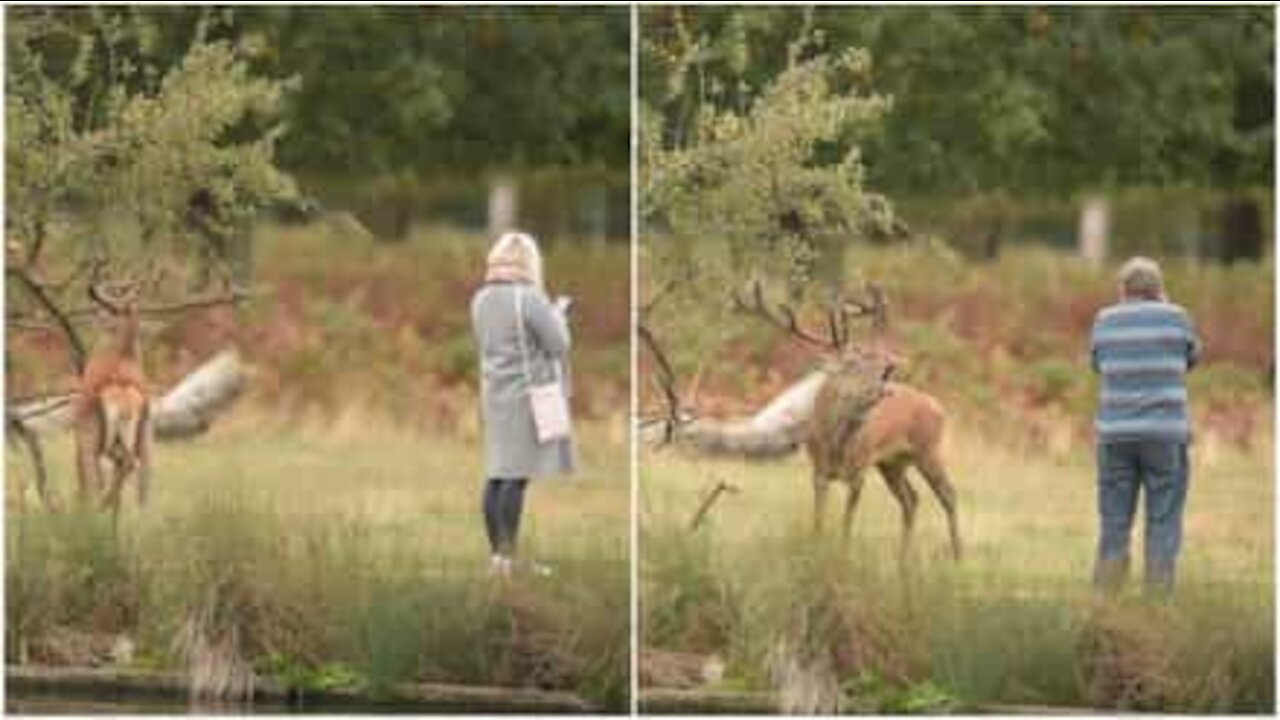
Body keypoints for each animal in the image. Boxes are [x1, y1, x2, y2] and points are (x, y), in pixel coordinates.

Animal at [645, 280, 962, 561]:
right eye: (852, 364)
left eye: (881, 366)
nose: (885, 387)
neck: (835, 445)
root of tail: (938, 406)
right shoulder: (818, 471)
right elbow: (818, 520)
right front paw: (816, 550)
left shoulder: (858, 471)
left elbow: (846, 524)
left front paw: (842, 557)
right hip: (892, 463)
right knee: (912, 500)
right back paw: (902, 562)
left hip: (927, 448)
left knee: (948, 494)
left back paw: (957, 558)